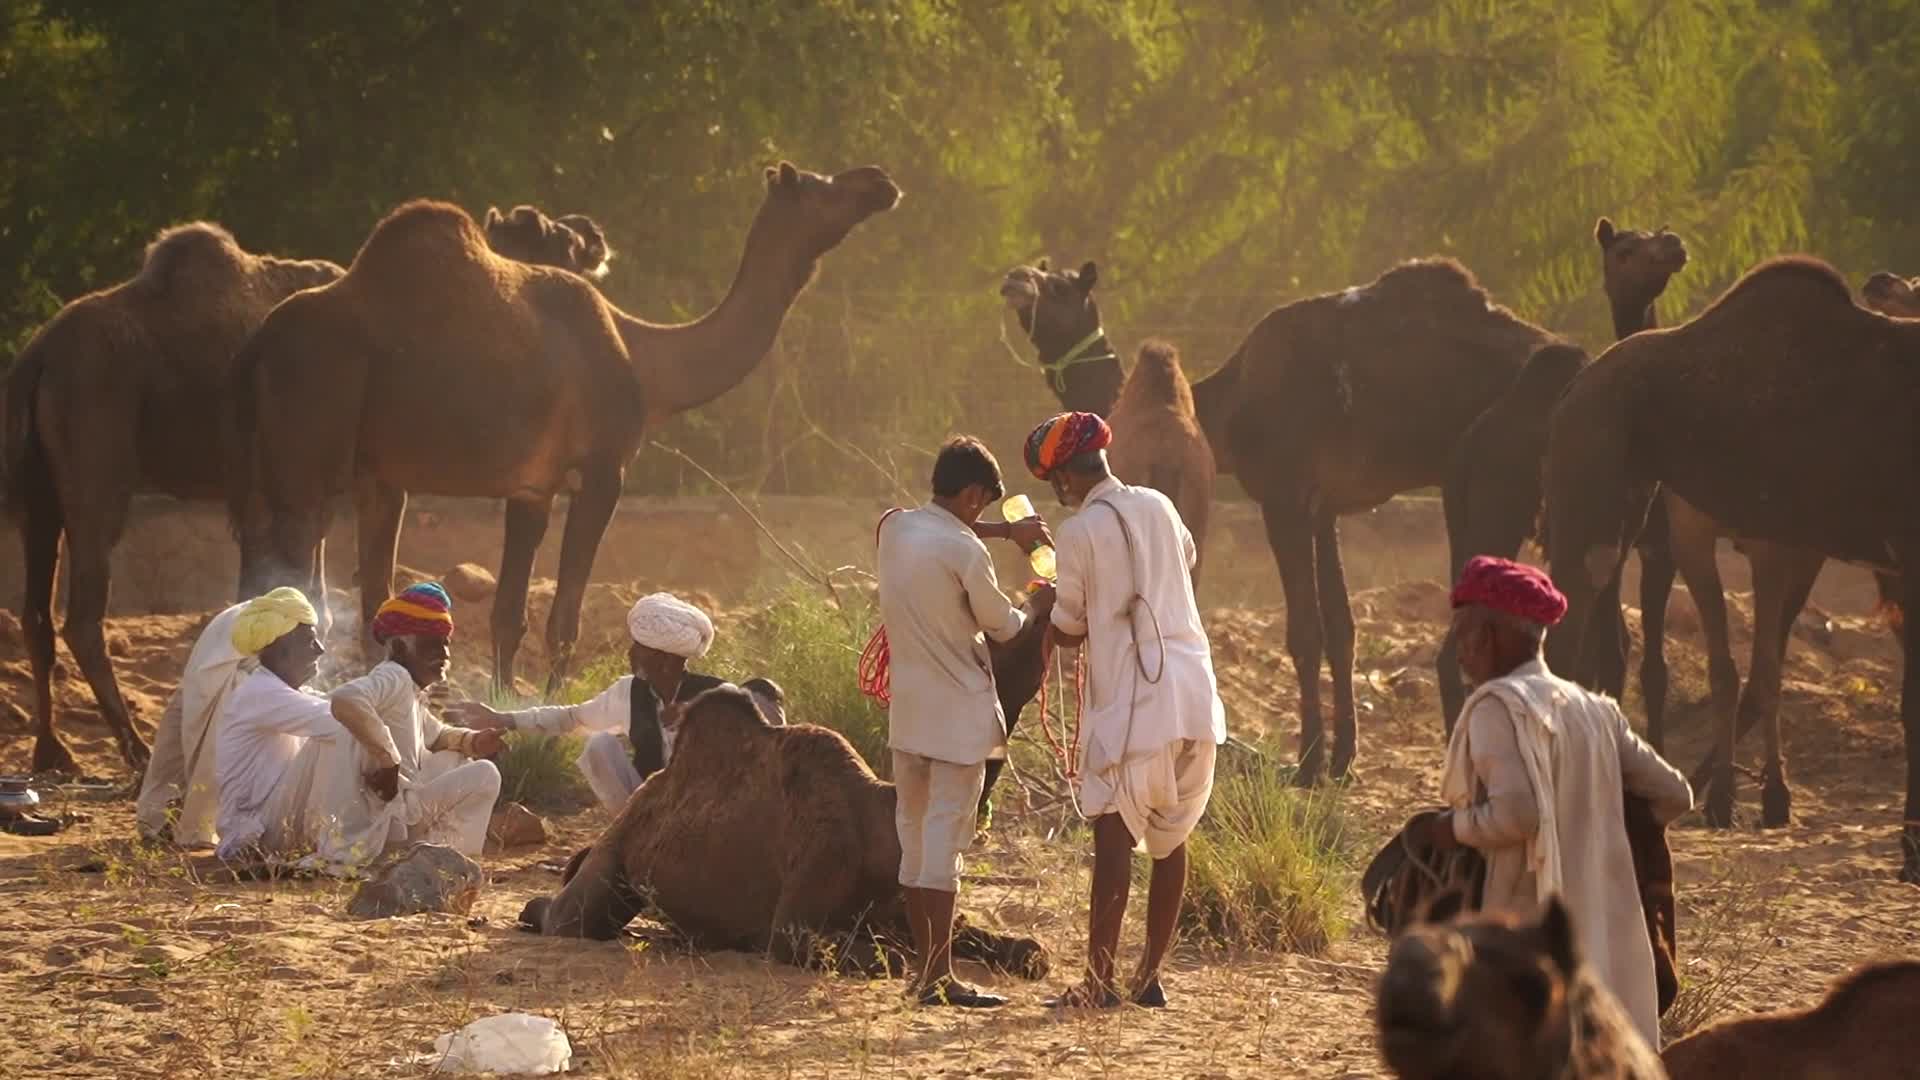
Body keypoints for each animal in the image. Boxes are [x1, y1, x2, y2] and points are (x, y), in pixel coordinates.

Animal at [2, 223, 344, 775]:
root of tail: (35, 359)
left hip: (37, 482)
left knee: (36, 604)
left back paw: (54, 752)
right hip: (95, 439)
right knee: (83, 607)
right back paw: (134, 746)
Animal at [229, 163, 900, 694]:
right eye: (819, 184)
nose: (880, 181)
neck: (646, 359)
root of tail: (258, 342)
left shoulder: (531, 487)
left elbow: (508, 615)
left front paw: (503, 702)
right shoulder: (603, 471)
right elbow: (563, 622)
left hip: (340, 472)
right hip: (309, 455)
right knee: (296, 581)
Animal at [519, 684, 1050, 980]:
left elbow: (989, 939)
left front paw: (1028, 954)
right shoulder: (809, 888)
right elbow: (884, 956)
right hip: (614, 860)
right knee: (572, 917)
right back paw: (531, 911)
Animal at [1188, 258, 1560, 783]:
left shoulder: (1284, 497)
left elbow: (1305, 632)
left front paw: (1308, 764)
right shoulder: (1322, 509)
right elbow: (1341, 629)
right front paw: (1343, 758)